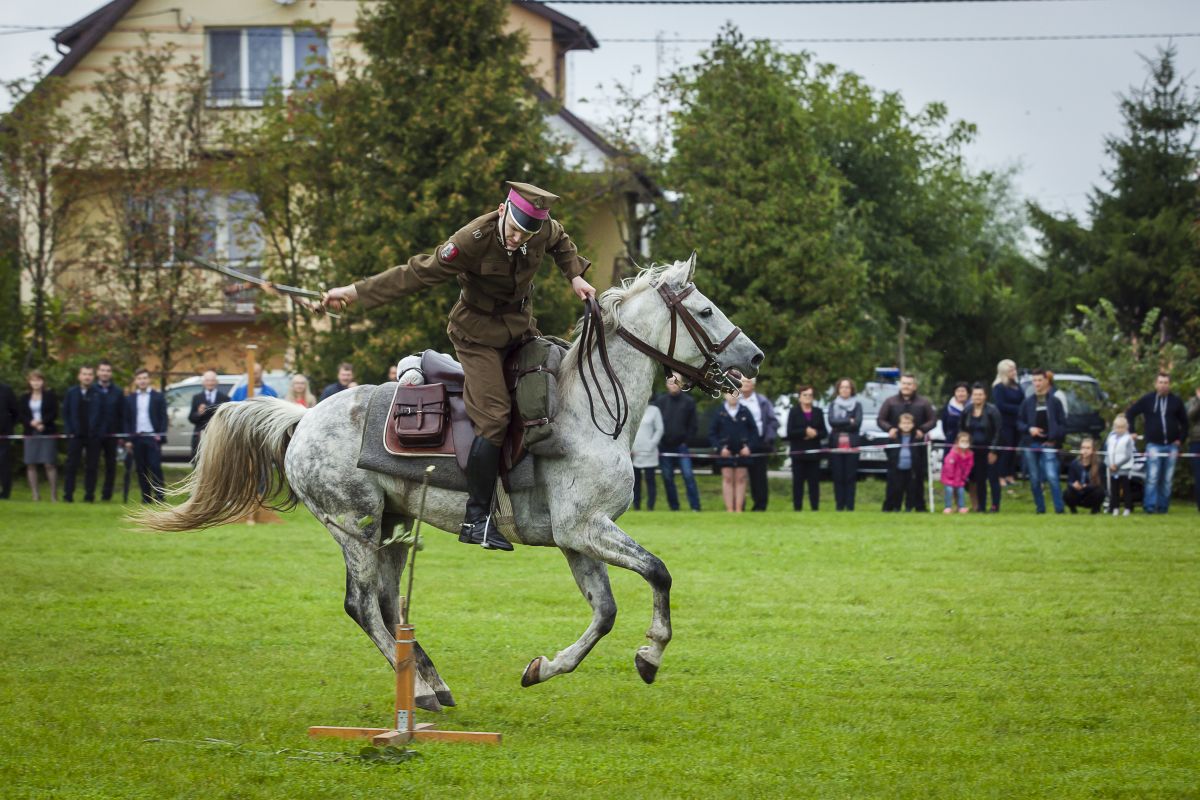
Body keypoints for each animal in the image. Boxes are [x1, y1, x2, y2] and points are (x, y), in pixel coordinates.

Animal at [137, 255, 763, 711]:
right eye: (705, 310)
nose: (755, 357)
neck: (588, 409)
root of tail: (305, 417)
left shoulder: (576, 537)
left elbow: (604, 612)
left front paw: (543, 668)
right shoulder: (586, 528)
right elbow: (658, 572)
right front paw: (651, 655)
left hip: (391, 529)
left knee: (388, 603)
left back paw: (431, 684)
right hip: (354, 527)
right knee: (362, 606)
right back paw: (418, 691)